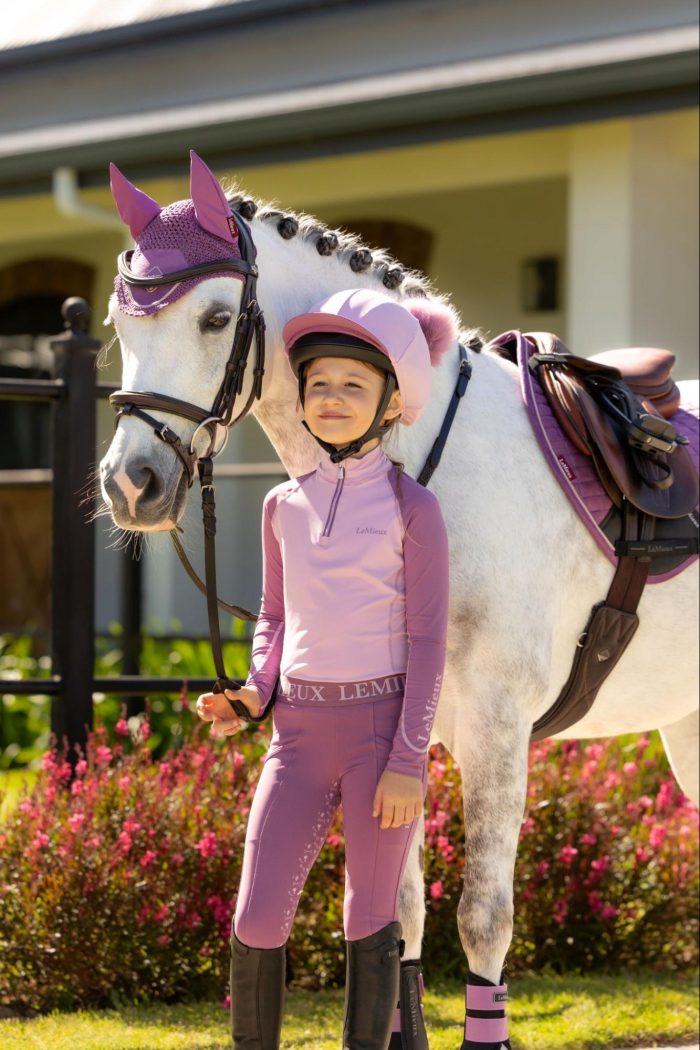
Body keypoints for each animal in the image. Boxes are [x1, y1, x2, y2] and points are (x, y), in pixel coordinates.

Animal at [99, 153, 699, 1050]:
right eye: (120, 324)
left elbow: (482, 919)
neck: (416, 460)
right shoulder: (403, 740)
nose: (130, 484)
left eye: (214, 318)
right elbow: (397, 920)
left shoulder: (496, 729)